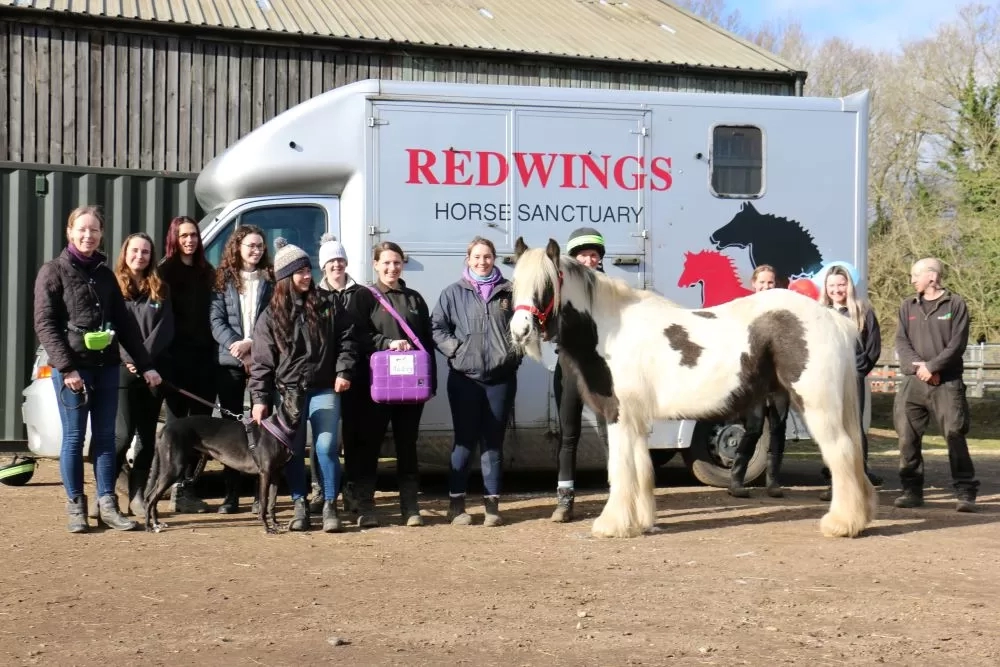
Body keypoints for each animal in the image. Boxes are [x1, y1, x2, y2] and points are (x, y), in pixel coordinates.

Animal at [508, 237, 876, 540]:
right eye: (515, 285)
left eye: (545, 285)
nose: (519, 330)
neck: (611, 329)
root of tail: (834, 319)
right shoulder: (635, 420)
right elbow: (640, 468)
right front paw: (642, 522)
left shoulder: (620, 415)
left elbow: (621, 469)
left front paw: (612, 525)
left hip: (816, 405)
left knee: (842, 452)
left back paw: (842, 524)